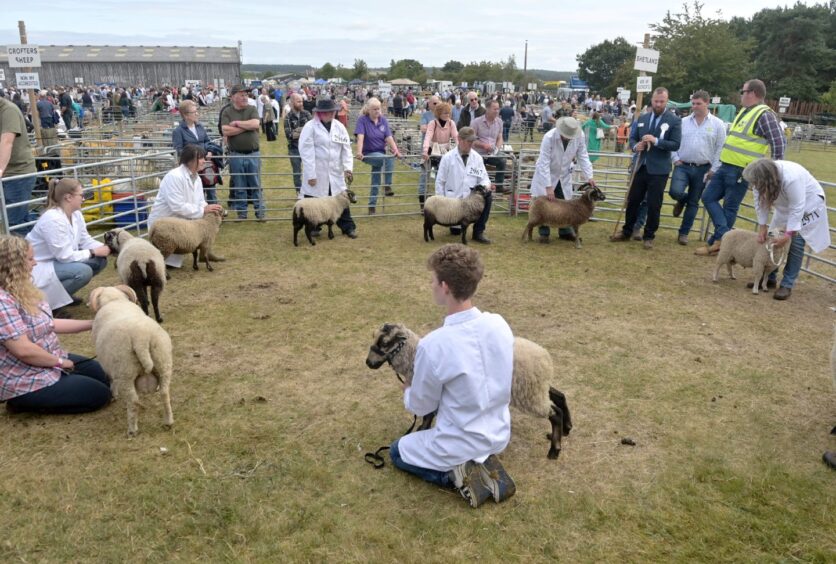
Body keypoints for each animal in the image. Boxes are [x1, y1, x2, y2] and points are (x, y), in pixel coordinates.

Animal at [89, 286, 174, 436]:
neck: (114, 300)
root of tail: (141, 338)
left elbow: (111, 379)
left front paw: (114, 394)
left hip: (125, 371)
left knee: (133, 402)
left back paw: (132, 430)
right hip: (163, 362)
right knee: (164, 393)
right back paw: (168, 422)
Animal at [366, 322, 576, 458]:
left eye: (384, 342)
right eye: (373, 339)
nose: (369, 363)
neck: (413, 358)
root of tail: (545, 358)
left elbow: (426, 415)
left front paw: (419, 431)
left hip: (530, 393)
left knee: (554, 412)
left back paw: (554, 449)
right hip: (535, 387)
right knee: (559, 396)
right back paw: (566, 429)